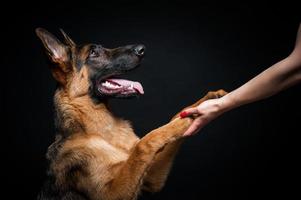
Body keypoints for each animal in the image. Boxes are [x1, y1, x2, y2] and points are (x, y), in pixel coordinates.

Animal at [35, 28, 226, 200]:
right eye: (94, 53)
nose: (142, 49)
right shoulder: (112, 194)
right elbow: (146, 142)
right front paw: (185, 120)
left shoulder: (151, 179)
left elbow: (174, 117)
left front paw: (208, 99)